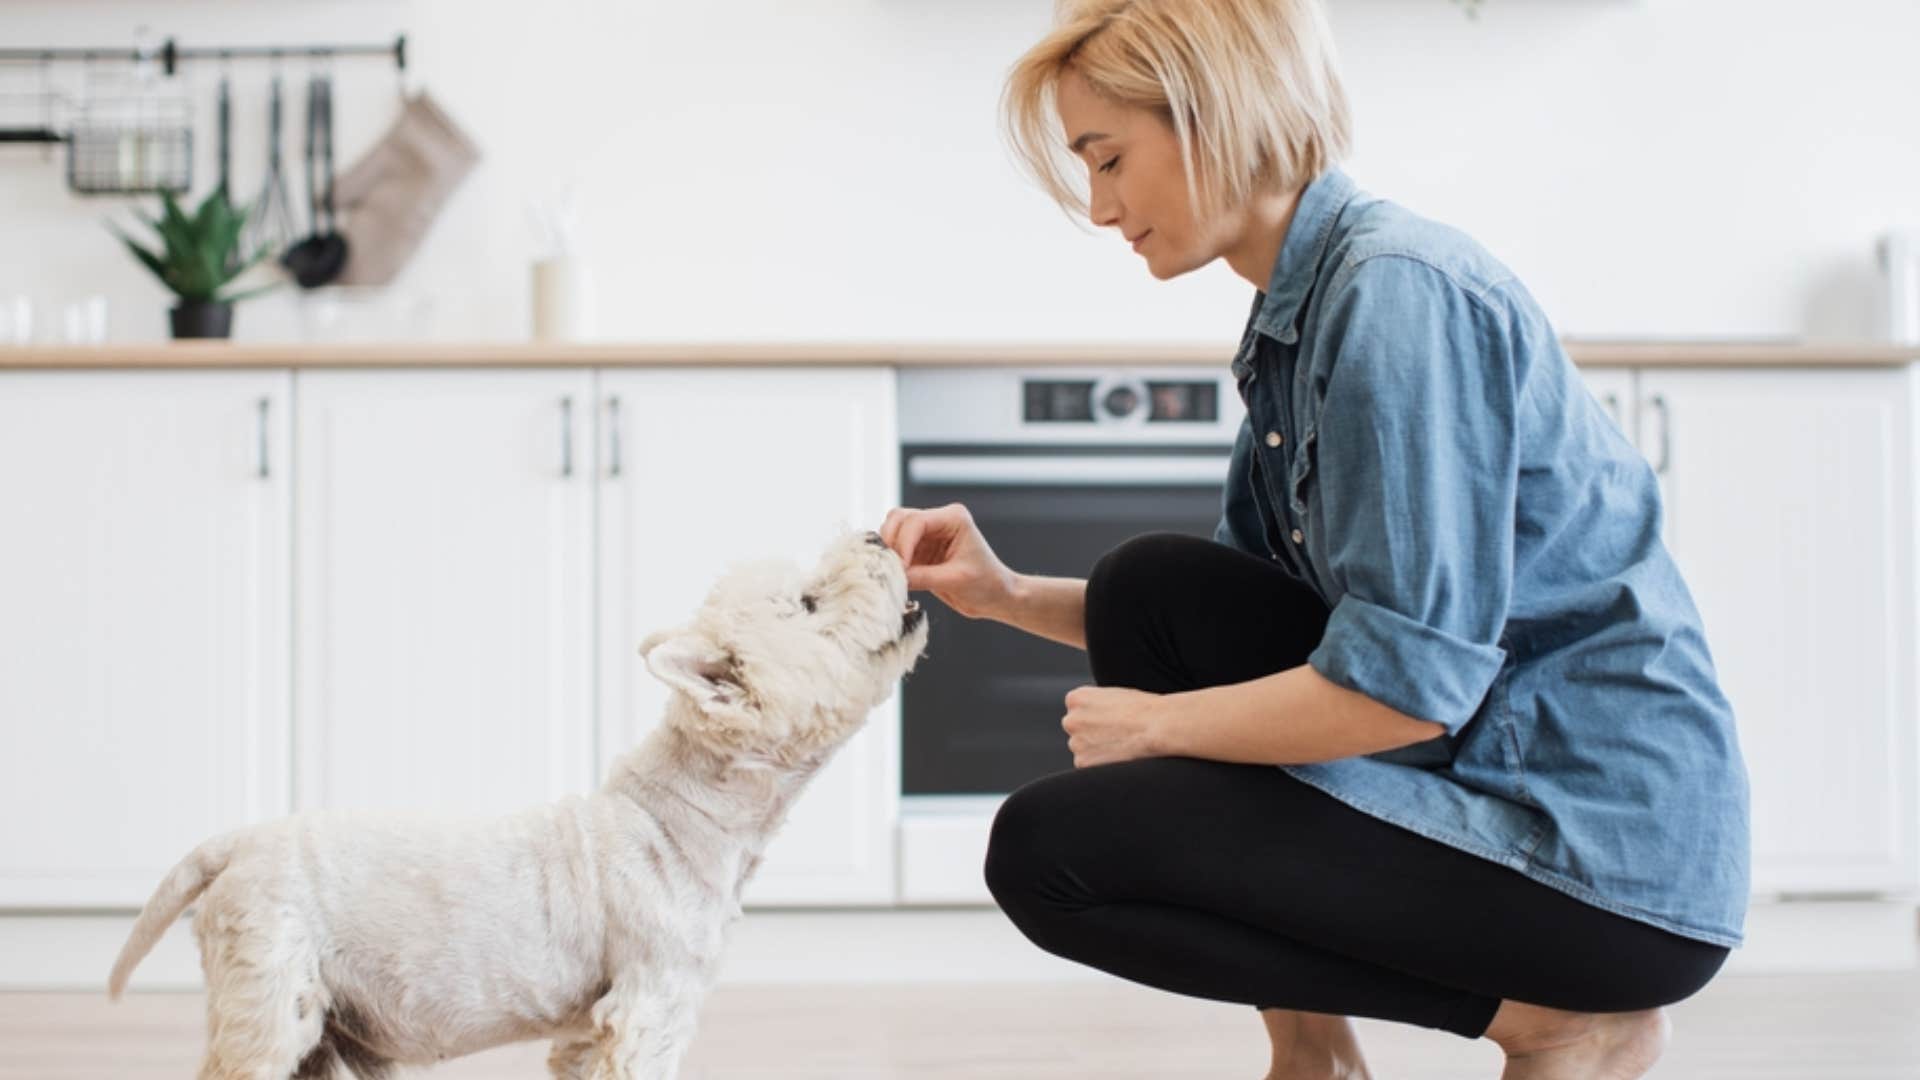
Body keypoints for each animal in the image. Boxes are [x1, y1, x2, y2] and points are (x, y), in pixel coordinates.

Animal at [108, 526, 933, 1076]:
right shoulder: (652, 1001)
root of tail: (235, 844)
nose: (875, 533)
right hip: (270, 991)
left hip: (325, 1025)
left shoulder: (587, 1030)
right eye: (810, 602)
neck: (683, 815)